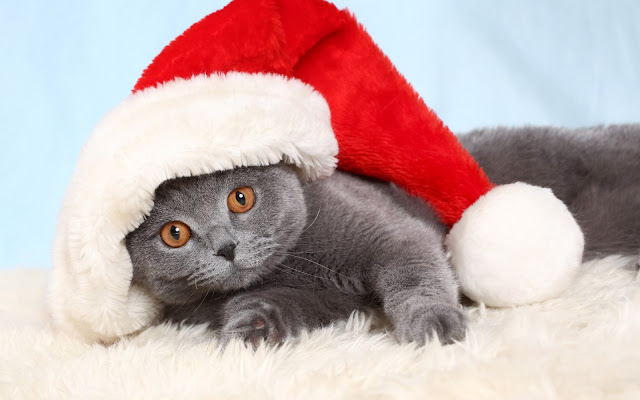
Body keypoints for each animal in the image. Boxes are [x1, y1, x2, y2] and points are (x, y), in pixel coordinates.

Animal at [125, 124, 640, 346]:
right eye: (174, 233)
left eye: (241, 198)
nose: (226, 247)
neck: (295, 264)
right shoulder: (323, 300)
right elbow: (272, 305)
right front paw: (249, 330)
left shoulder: (392, 233)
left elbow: (414, 273)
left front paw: (433, 326)